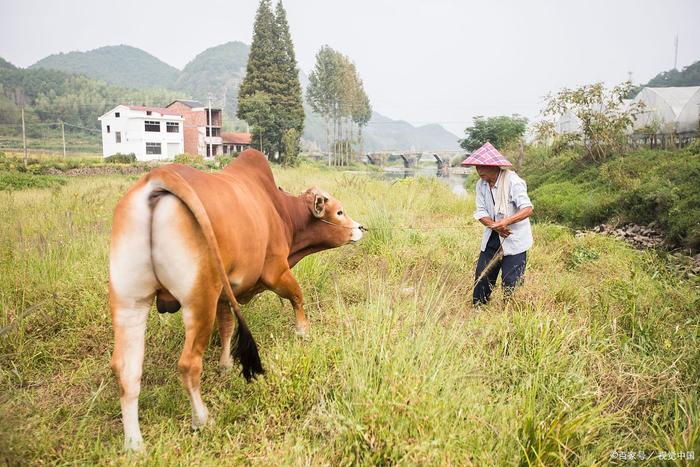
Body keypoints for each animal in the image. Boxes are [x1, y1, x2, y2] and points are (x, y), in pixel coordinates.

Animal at [109, 149, 364, 450]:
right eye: (339, 211)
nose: (360, 227)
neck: (279, 210)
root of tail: (158, 177)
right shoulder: (275, 271)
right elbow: (297, 295)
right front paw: (303, 331)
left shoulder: (223, 292)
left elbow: (228, 325)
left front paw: (225, 365)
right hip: (199, 298)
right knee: (188, 364)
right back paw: (201, 419)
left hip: (130, 301)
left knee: (126, 371)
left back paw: (134, 444)